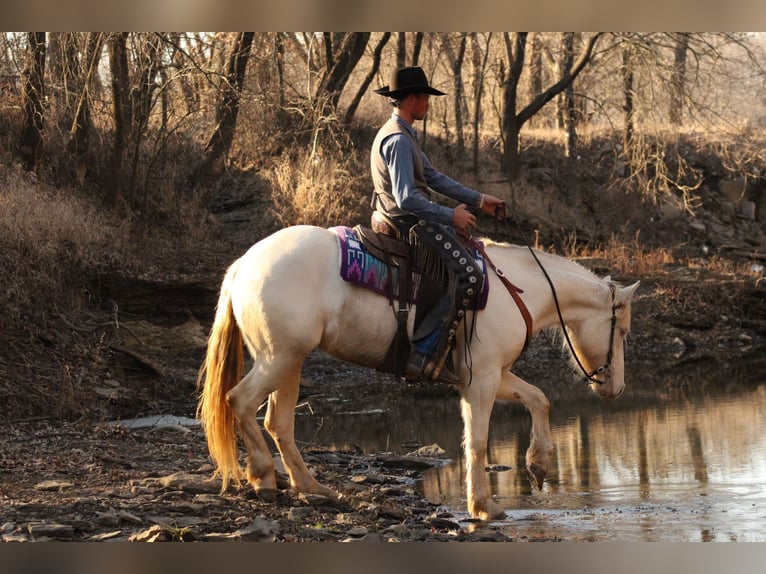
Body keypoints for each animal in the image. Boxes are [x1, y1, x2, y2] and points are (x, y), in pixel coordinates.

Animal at [196, 224, 639, 521]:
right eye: (624, 332)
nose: (617, 388)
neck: (518, 290)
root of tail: (243, 266)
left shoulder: (488, 375)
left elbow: (538, 398)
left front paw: (539, 463)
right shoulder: (482, 379)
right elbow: (478, 441)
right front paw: (484, 506)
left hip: (290, 362)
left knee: (278, 421)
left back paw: (311, 487)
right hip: (279, 358)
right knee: (240, 401)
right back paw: (263, 478)